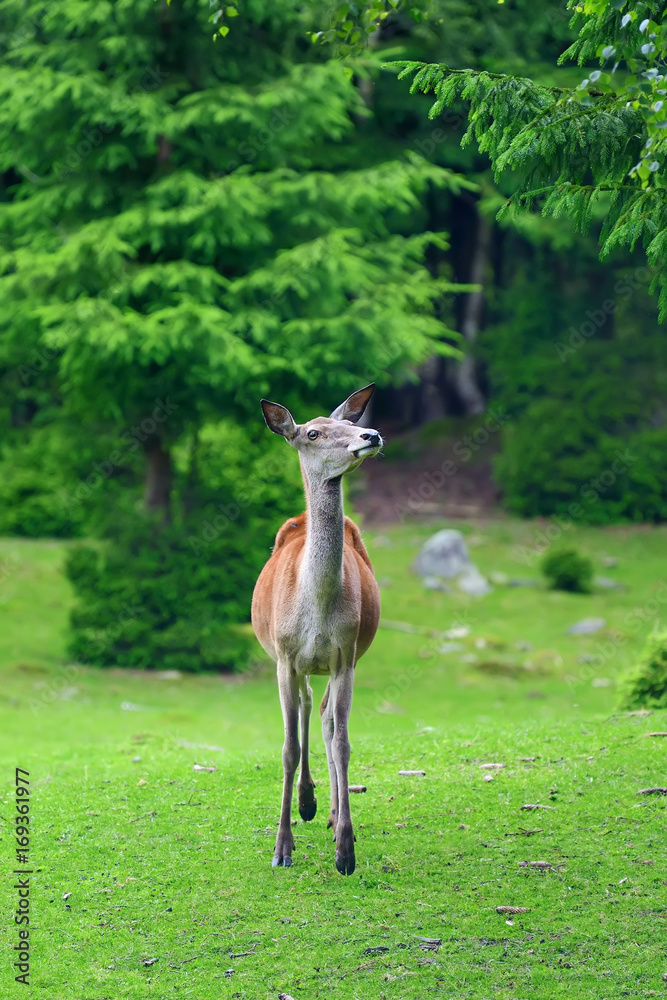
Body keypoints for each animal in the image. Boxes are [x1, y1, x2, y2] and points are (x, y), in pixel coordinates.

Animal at [253, 382, 384, 876]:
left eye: (346, 423)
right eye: (312, 432)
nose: (371, 434)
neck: (319, 610)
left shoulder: (345, 655)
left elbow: (342, 741)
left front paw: (346, 850)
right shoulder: (286, 658)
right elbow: (288, 748)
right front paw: (282, 848)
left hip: (334, 663)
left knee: (325, 716)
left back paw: (325, 811)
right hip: (296, 662)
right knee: (309, 706)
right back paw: (306, 803)